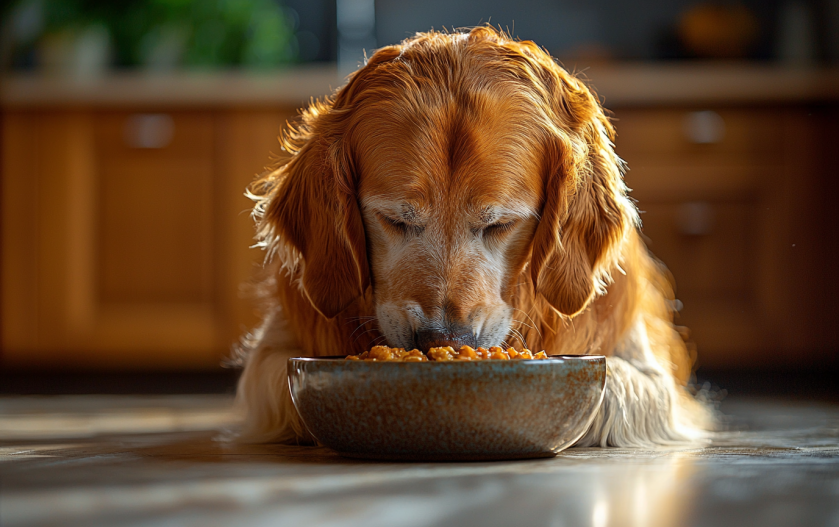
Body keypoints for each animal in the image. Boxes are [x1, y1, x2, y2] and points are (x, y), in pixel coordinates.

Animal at [233, 26, 712, 448]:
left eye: (500, 224)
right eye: (393, 220)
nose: (443, 341)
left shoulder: (646, 375)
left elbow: (608, 393)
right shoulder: (270, 361)